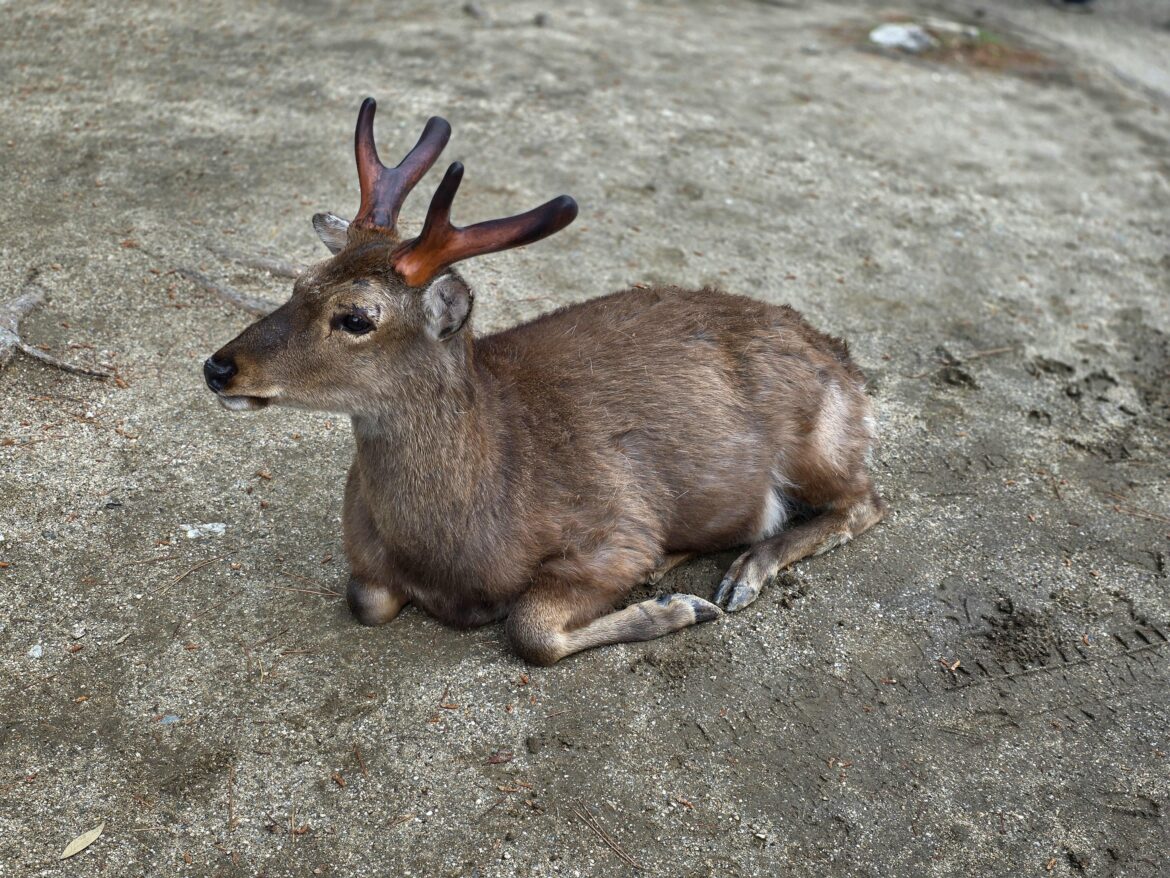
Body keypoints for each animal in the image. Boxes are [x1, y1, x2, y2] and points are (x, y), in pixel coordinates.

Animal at [203, 98, 886, 665]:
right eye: (300, 281)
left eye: (355, 317)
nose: (218, 367)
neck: (456, 547)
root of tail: (843, 358)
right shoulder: (365, 561)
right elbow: (365, 599)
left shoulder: (617, 528)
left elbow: (529, 629)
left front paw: (676, 606)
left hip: (819, 440)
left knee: (865, 501)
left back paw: (740, 575)